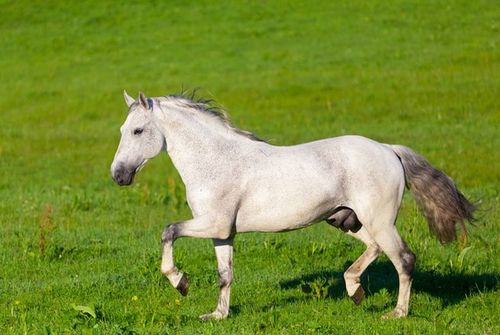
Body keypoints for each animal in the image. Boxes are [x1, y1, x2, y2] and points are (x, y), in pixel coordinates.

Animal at [111, 90, 474, 322]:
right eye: (123, 129)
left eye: (138, 130)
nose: (118, 175)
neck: (215, 161)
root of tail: (388, 149)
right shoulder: (223, 232)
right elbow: (225, 275)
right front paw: (217, 315)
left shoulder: (213, 223)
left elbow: (168, 231)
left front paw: (180, 282)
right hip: (347, 220)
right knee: (375, 249)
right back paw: (354, 290)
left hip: (379, 220)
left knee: (404, 259)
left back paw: (396, 313)